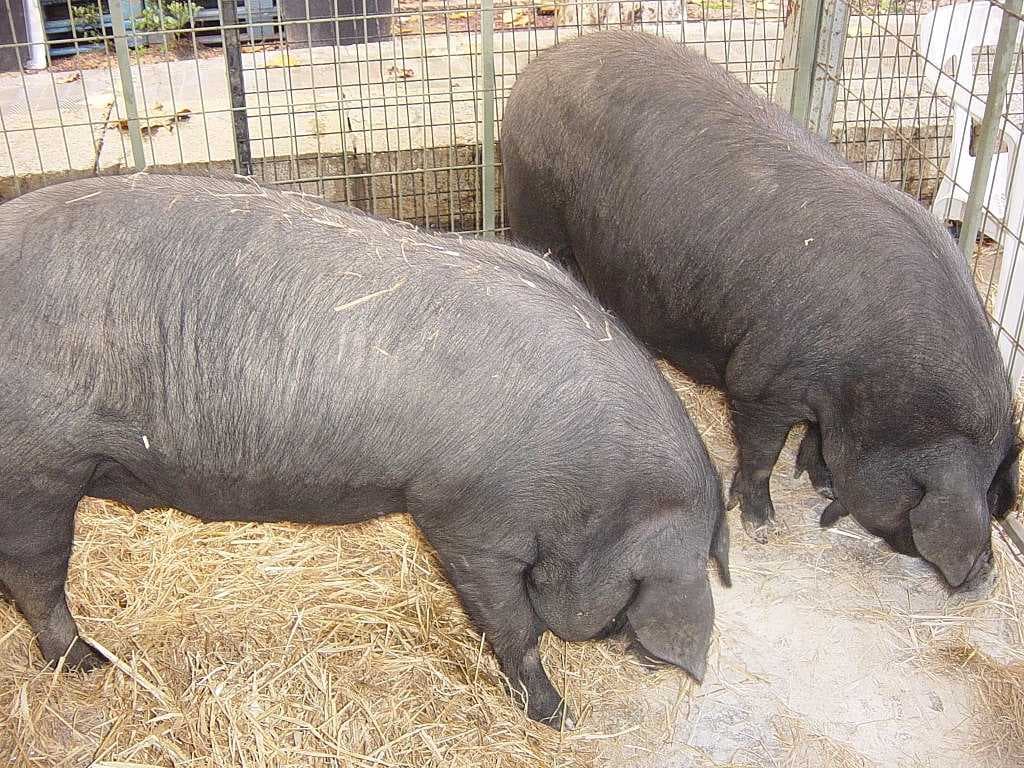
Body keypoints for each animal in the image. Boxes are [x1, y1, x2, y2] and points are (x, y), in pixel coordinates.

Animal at [0, 173, 730, 729]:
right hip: (35, 471)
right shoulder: (466, 516)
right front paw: (558, 718)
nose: (631, 652)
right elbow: (512, 624)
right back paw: (88, 662)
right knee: (36, 578)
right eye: (620, 617)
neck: (595, 488)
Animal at [500, 30, 1020, 591]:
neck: (881, 392)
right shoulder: (761, 379)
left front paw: (820, 485)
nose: (985, 574)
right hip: (534, 205)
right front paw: (763, 528)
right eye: (984, 497)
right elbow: (761, 453)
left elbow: (816, 440)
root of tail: (540, 67)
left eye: (999, 498)